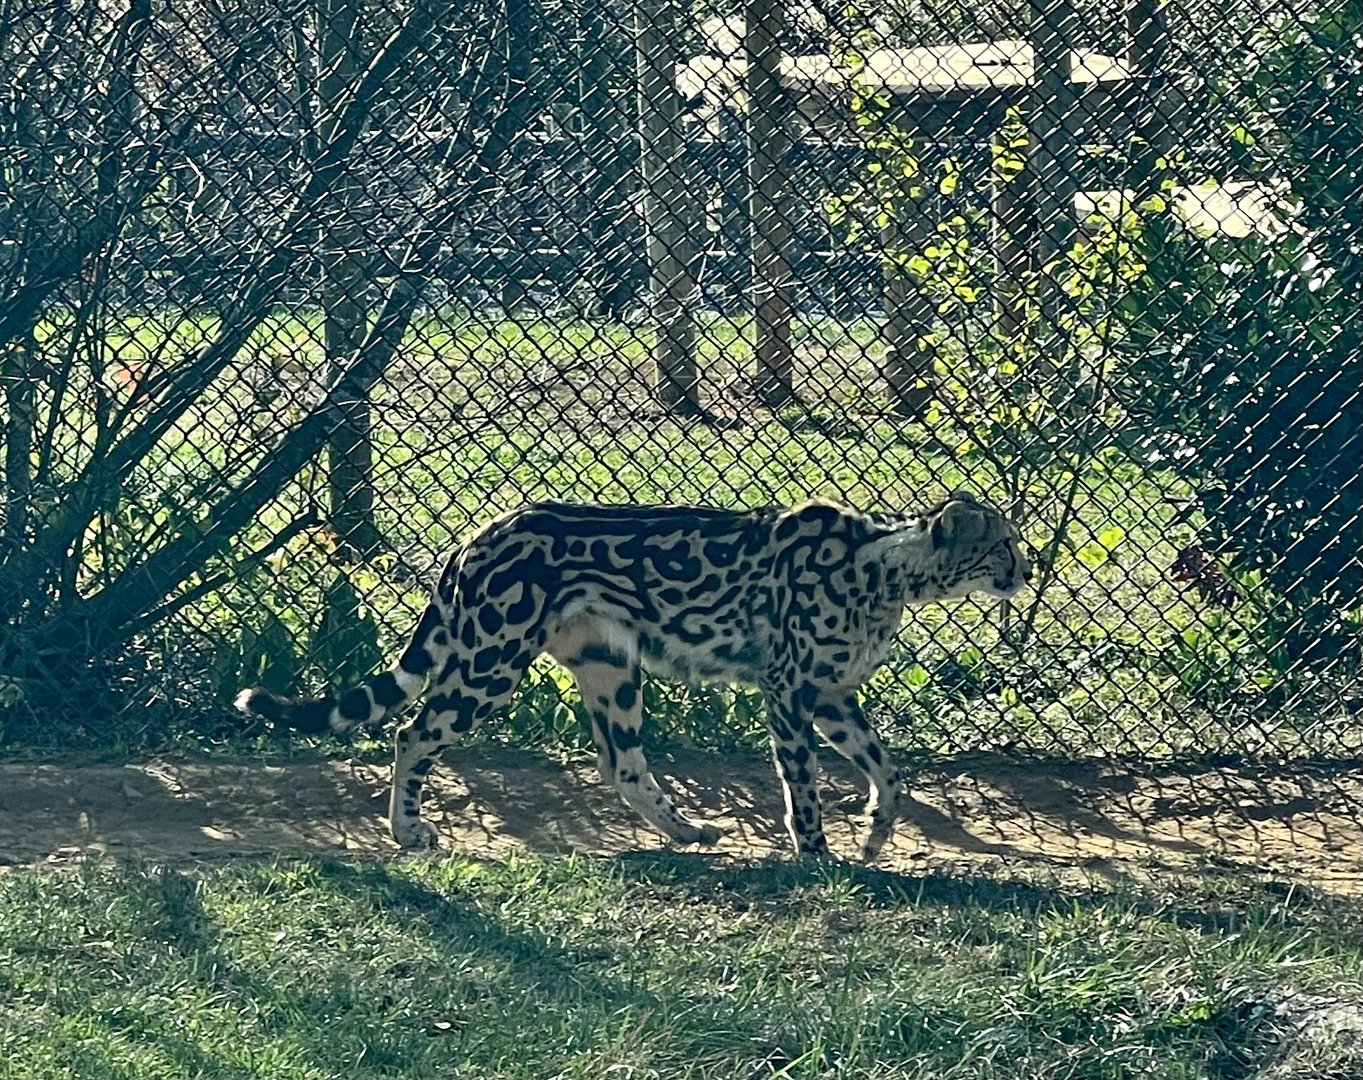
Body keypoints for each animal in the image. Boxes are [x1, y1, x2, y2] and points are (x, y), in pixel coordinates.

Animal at [236, 491, 1030, 860]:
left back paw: (683, 831)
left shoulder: (832, 696)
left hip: (609, 669)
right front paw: (816, 855)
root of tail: (481, 532)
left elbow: (890, 774)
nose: (1028, 572)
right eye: (1001, 547)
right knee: (412, 732)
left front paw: (871, 838)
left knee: (621, 764)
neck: (884, 570)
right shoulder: (789, 691)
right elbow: (801, 786)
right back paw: (405, 829)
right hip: (491, 663)